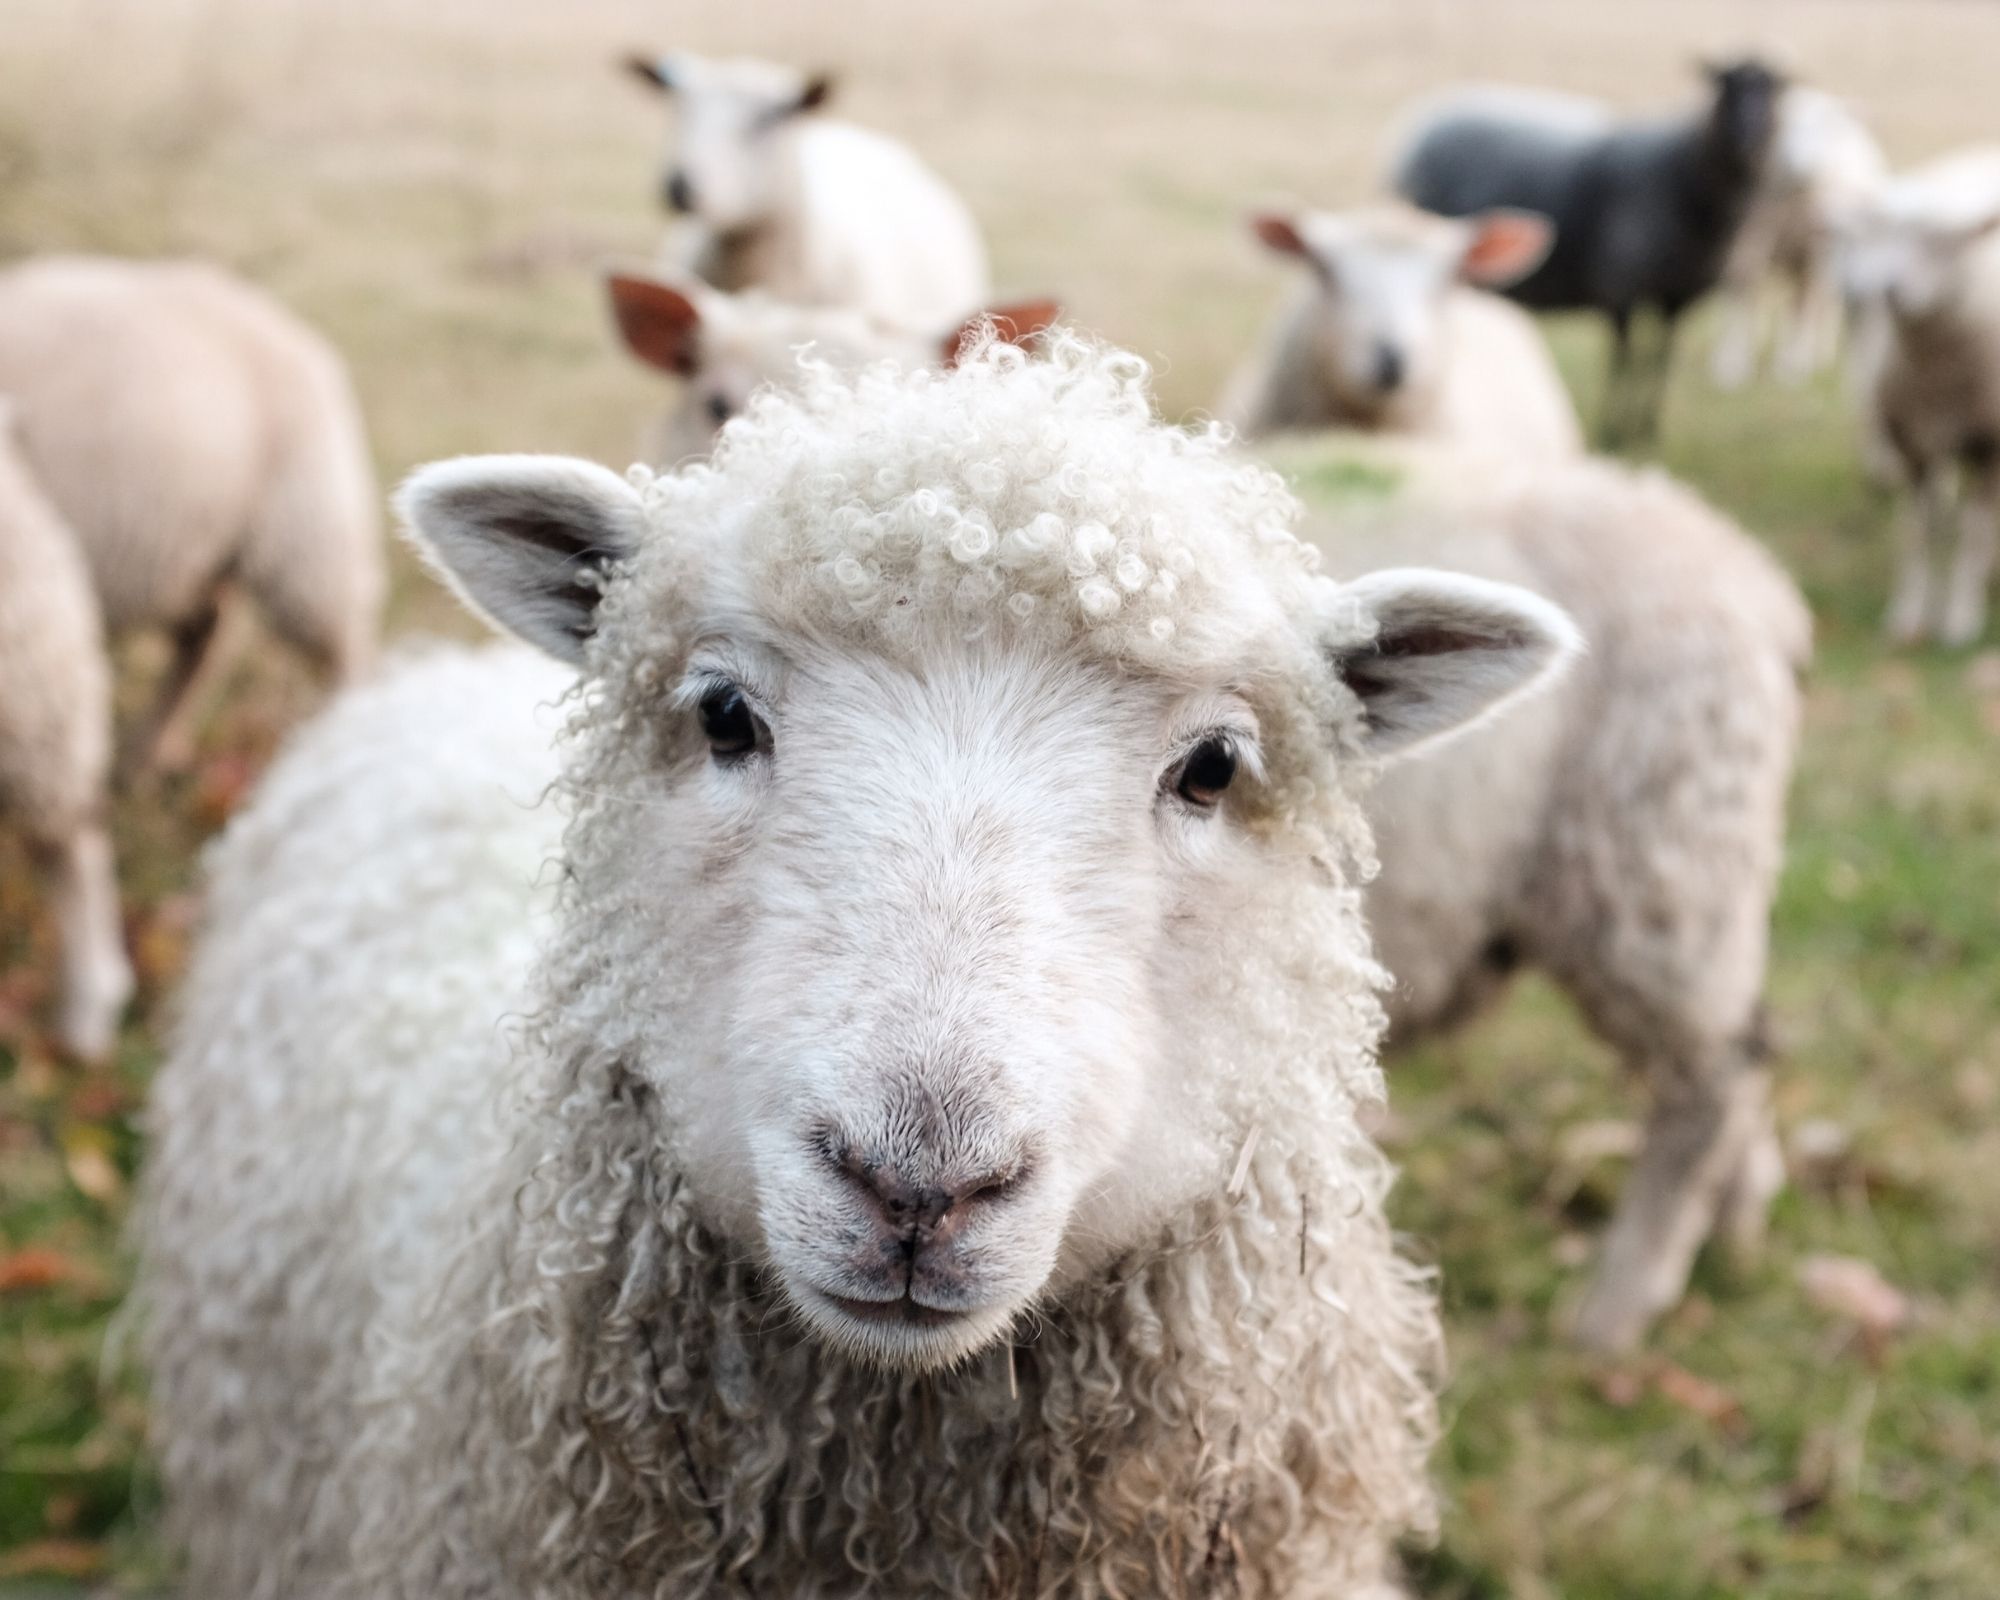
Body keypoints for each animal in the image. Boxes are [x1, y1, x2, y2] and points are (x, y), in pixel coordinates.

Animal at [1392, 60, 1786, 448]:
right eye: (1727, 85)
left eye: (1773, 89)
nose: (1748, 136)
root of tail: (1424, 118)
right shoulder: (1621, 288)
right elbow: (1624, 359)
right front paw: (1615, 429)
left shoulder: (1676, 297)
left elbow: (1660, 359)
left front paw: (1647, 428)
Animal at [1709, 86, 1888, 389]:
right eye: (1789, 124)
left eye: (1832, 130)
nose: (1803, 163)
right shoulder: (1752, 232)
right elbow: (1744, 288)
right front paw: (1731, 367)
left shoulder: (1816, 248)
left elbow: (1805, 304)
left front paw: (1793, 368)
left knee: (1816, 300)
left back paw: (1807, 357)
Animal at [1838, 147, 2000, 646]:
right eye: (1886, 234)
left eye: (1946, 243)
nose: (1889, 290)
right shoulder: (1908, 443)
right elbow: (1916, 533)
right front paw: (1908, 615)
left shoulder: (1989, 446)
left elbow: (1974, 534)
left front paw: (1961, 619)